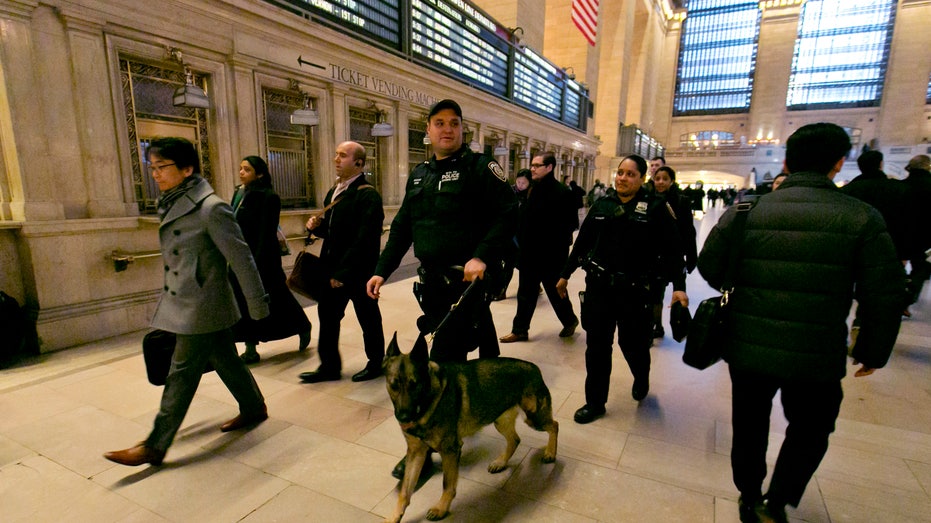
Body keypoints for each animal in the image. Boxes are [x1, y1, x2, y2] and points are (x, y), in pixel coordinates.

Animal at [382, 334, 556, 520]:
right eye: (394, 385)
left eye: (414, 385)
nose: (404, 418)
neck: (428, 399)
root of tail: (534, 368)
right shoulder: (416, 453)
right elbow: (405, 492)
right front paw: (394, 516)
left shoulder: (450, 451)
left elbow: (447, 484)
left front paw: (441, 508)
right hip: (500, 421)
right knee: (515, 439)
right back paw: (501, 462)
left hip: (535, 419)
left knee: (554, 426)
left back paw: (550, 453)